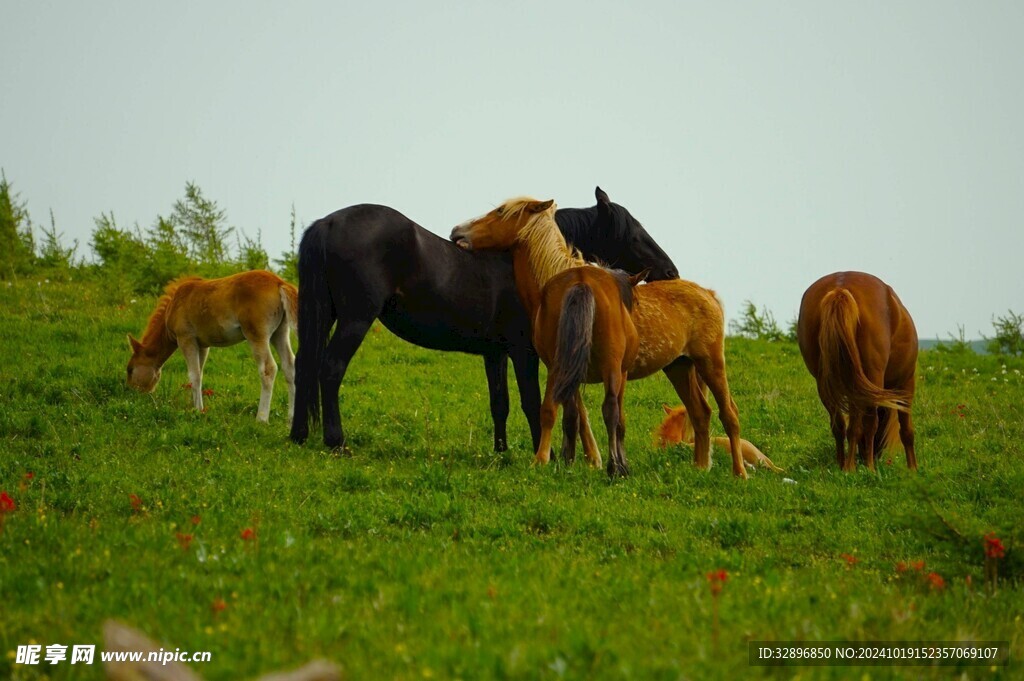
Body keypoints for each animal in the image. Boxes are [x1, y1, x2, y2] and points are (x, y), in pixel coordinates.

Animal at [126, 270, 298, 423]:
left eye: (130, 369)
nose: (131, 393)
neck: (174, 303)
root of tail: (279, 282)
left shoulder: (186, 339)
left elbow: (194, 375)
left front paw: (197, 410)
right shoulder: (203, 345)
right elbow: (199, 374)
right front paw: (197, 407)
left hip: (257, 335)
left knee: (268, 369)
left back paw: (261, 418)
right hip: (280, 333)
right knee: (289, 367)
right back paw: (290, 418)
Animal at [289, 187, 678, 453]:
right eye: (634, 233)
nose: (670, 271)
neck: (527, 263)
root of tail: (328, 223)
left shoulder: (495, 353)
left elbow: (499, 403)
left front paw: (501, 451)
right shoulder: (523, 353)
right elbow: (530, 402)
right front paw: (543, 453)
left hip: (323, 314)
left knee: (304, 366)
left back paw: (299, 435)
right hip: (355, 319)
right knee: (330, 368)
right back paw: (335, 440)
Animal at [451, 197, 750, 478]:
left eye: (500, 211)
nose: (457, 232)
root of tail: (707, 293)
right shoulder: (566, 369)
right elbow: (568, 414)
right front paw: (566, 461)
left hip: (710, 363)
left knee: (729, 413)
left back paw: (739, 472)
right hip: (679, 367)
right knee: (700, 413)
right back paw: (700, 467)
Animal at [796, 271, 918, 471]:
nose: (875, 455)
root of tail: (840, 288)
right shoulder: (906, 382)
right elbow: (906, 430)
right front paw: (913, 469)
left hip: (827, 384)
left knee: (839, 424)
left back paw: (844, 465)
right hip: (871, 377)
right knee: (868, 423)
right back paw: (865, 468)